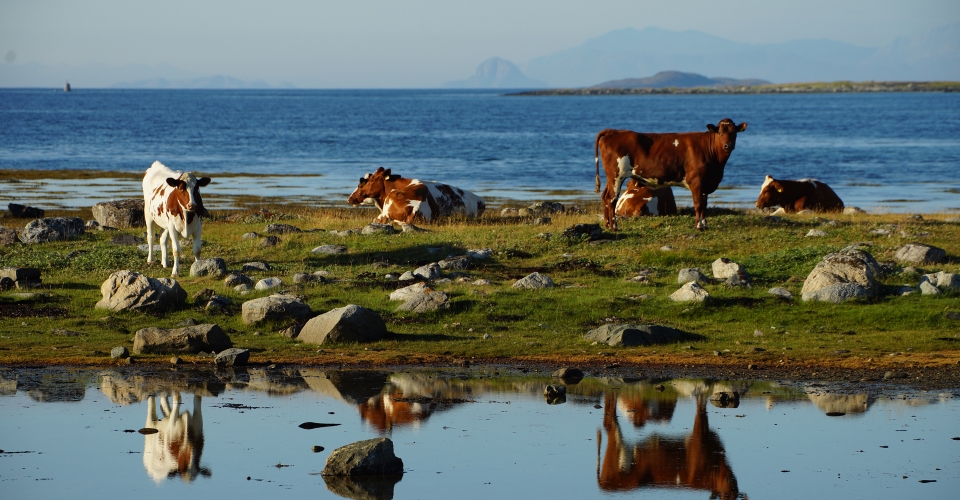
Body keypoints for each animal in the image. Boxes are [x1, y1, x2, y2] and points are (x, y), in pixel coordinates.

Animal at [592, 118, 752, 231]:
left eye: (734, 132)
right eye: (719, 132)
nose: (728, 145)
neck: (716, 167)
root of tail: (614, 131)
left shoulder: (706, 183)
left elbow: (705, 205)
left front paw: (705, 225)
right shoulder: (696, 181)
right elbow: (698, 204)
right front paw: (699, 226)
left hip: (611, 177)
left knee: (605, 196)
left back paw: (607, 225)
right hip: (616, 175)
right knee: (611, 199)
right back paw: (614, 227)